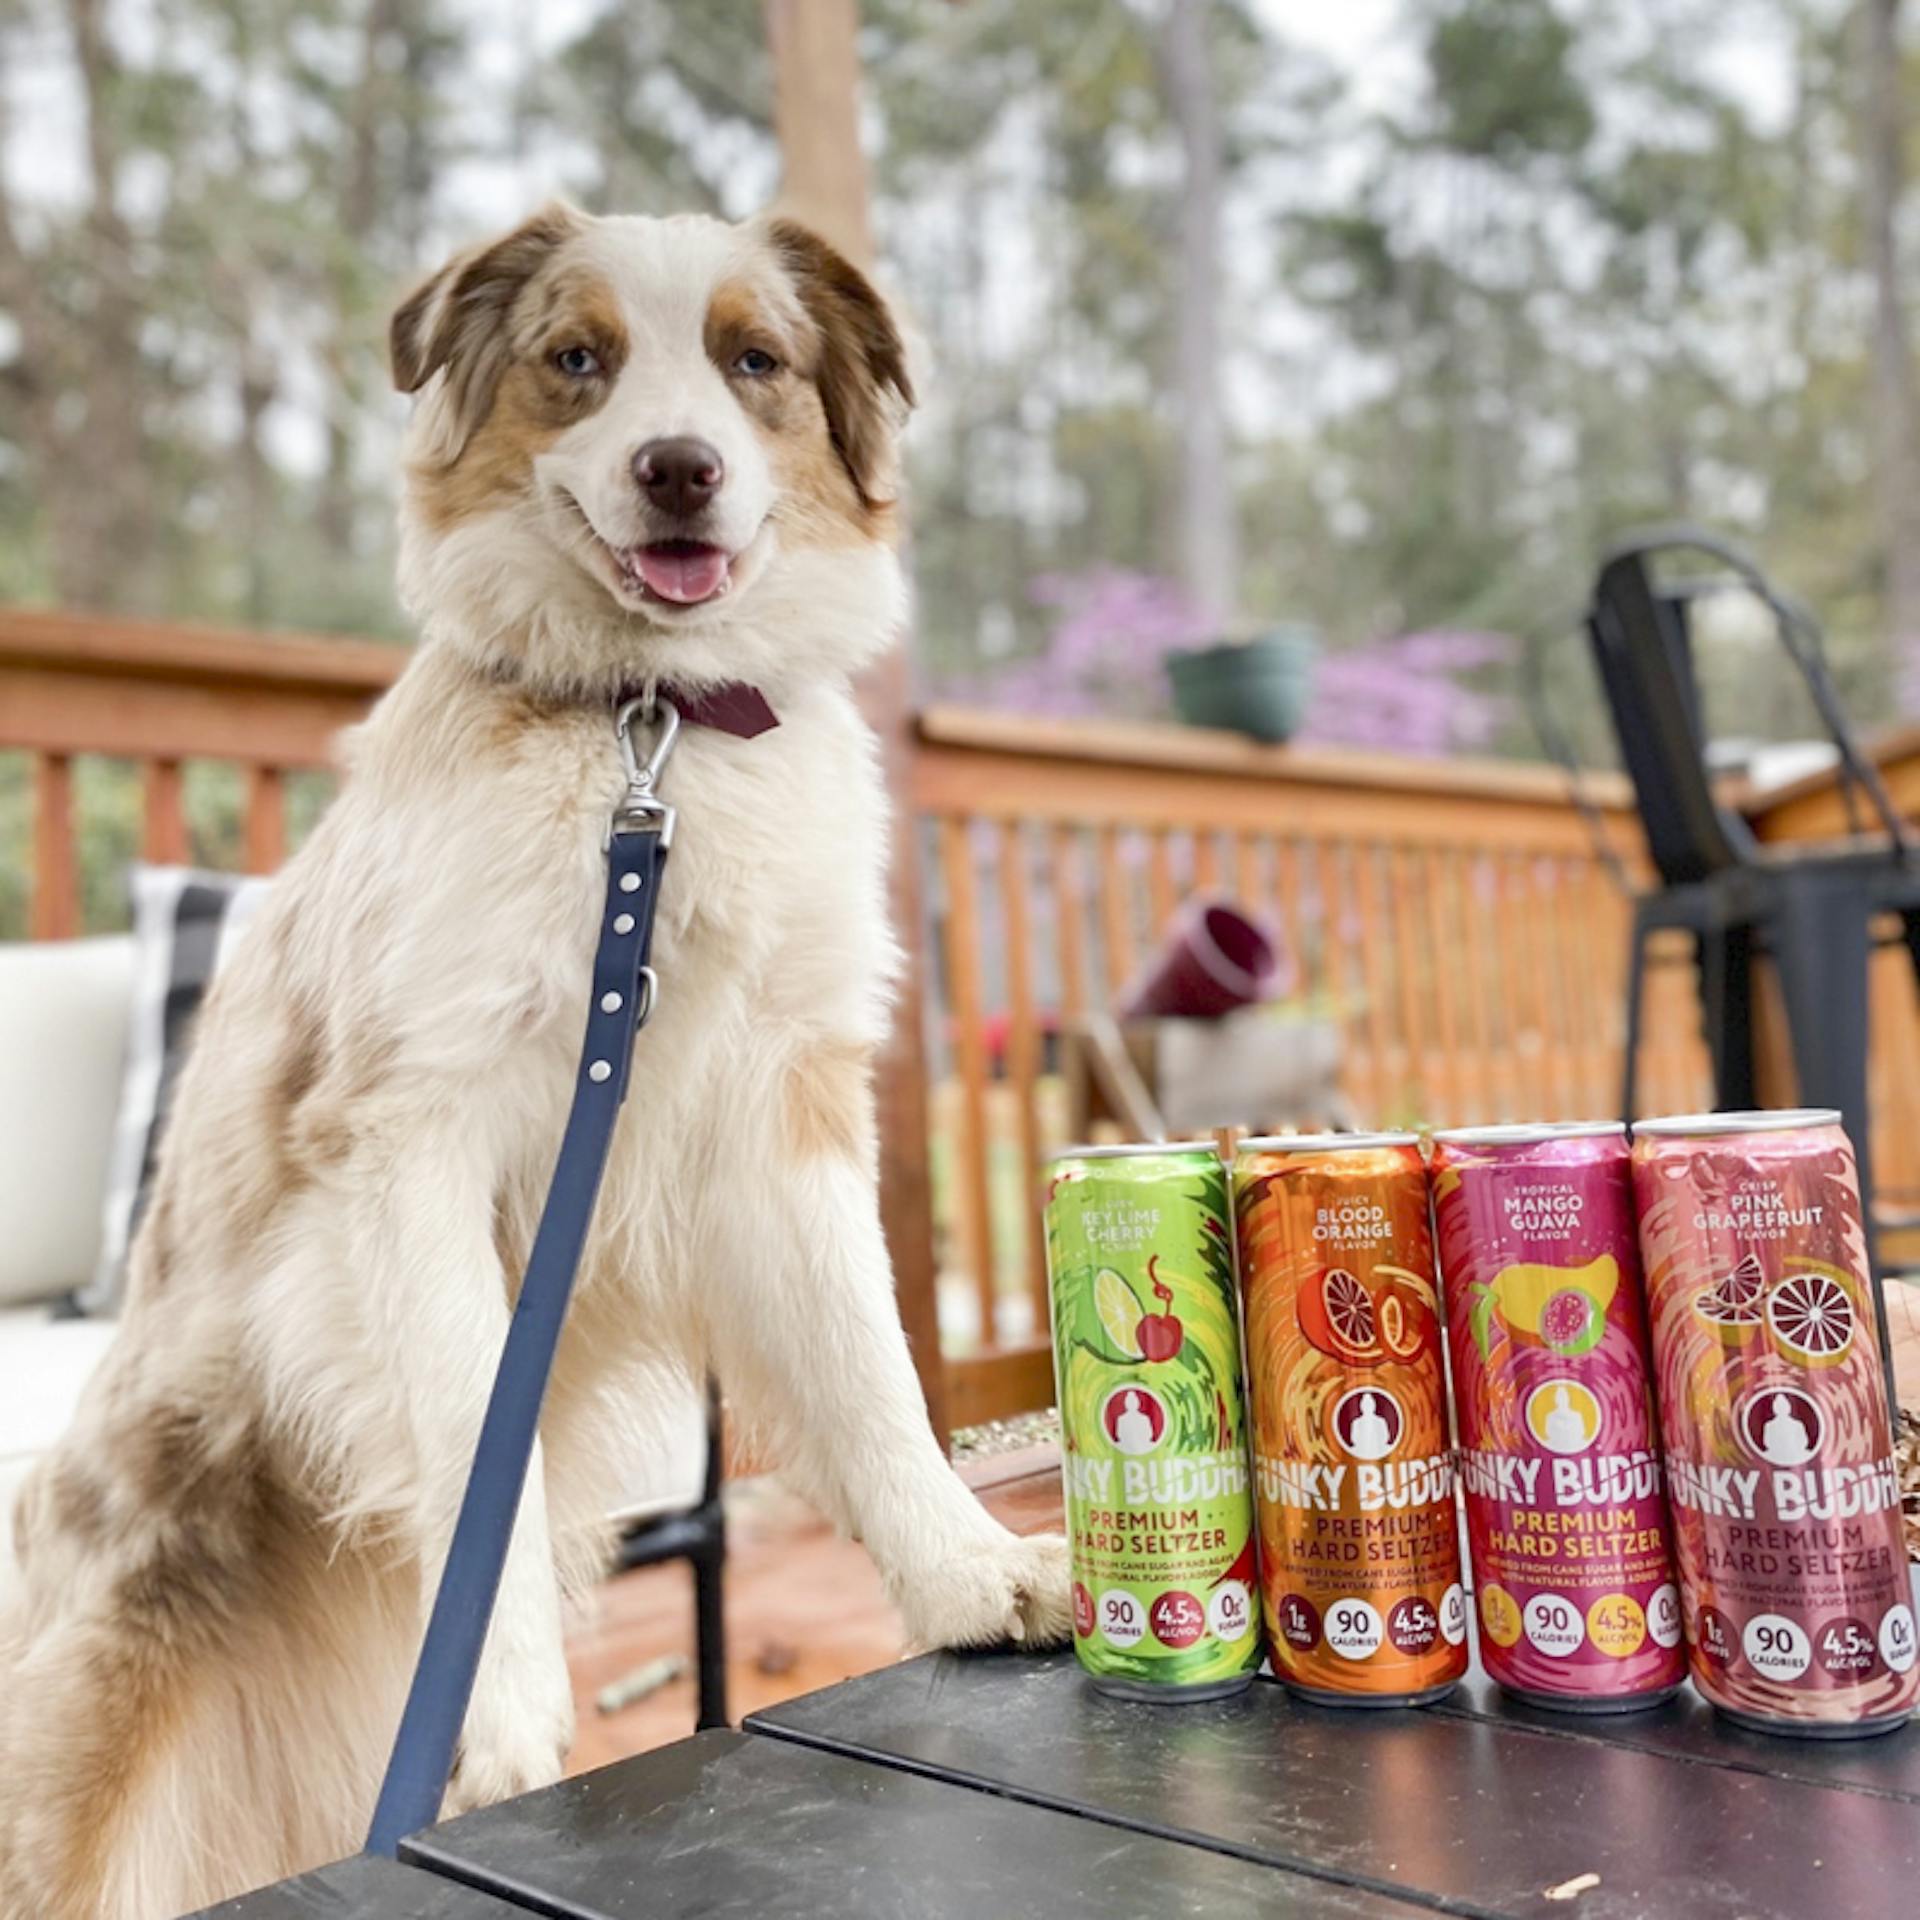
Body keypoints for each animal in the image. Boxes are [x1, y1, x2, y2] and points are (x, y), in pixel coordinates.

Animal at [0, 210, 1075, 1920]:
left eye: (754, 360)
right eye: (579, 360)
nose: (679, 469)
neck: (647, 731)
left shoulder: (778, 1110)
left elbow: (871, 1369)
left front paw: (967, 1575)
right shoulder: (412, 1147)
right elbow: (468, 1447)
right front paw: (496, 1728)